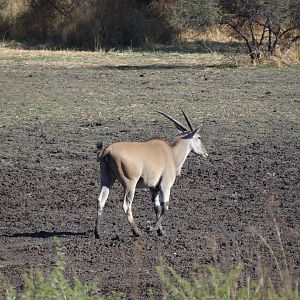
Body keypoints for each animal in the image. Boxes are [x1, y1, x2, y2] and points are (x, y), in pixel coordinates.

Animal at [95, 110, 207, 239]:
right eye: (199, 137)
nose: (205, 153)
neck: (171, 152)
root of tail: (107, 151)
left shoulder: (154, 189)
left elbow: (157, 208)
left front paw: (160, 231)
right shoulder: (165, 186)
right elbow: (165, 208)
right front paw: (152, 228)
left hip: (107, 180)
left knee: (101, 200)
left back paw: (98, 233)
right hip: (130, 184)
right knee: (126, 205)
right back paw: (137, 232)